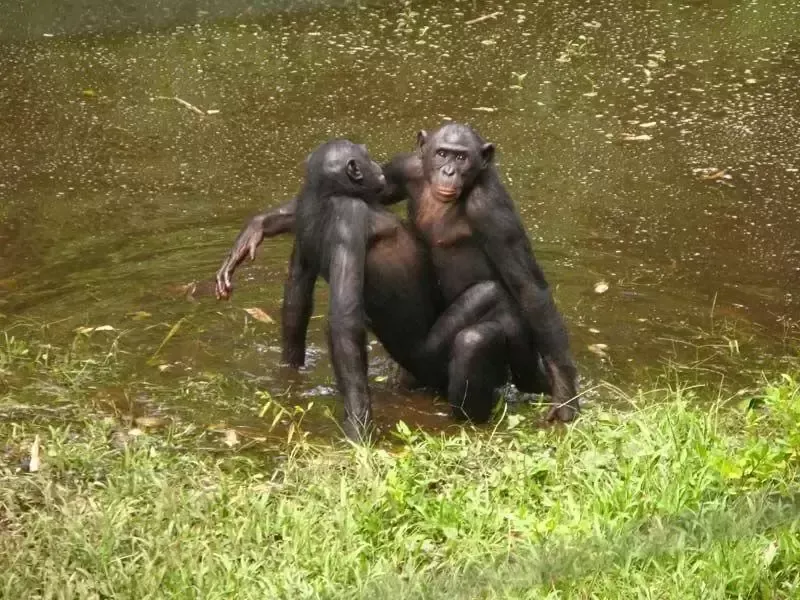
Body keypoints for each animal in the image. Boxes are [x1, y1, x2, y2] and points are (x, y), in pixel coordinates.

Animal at [216, 139, 548, 440]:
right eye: (364, 155)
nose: (376, 165)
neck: (329, 194)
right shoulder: (349, 218)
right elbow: (345, 319)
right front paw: (359, 425)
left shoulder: (306, 226)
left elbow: (298, 295)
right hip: (427, 358)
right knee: (494, 300)